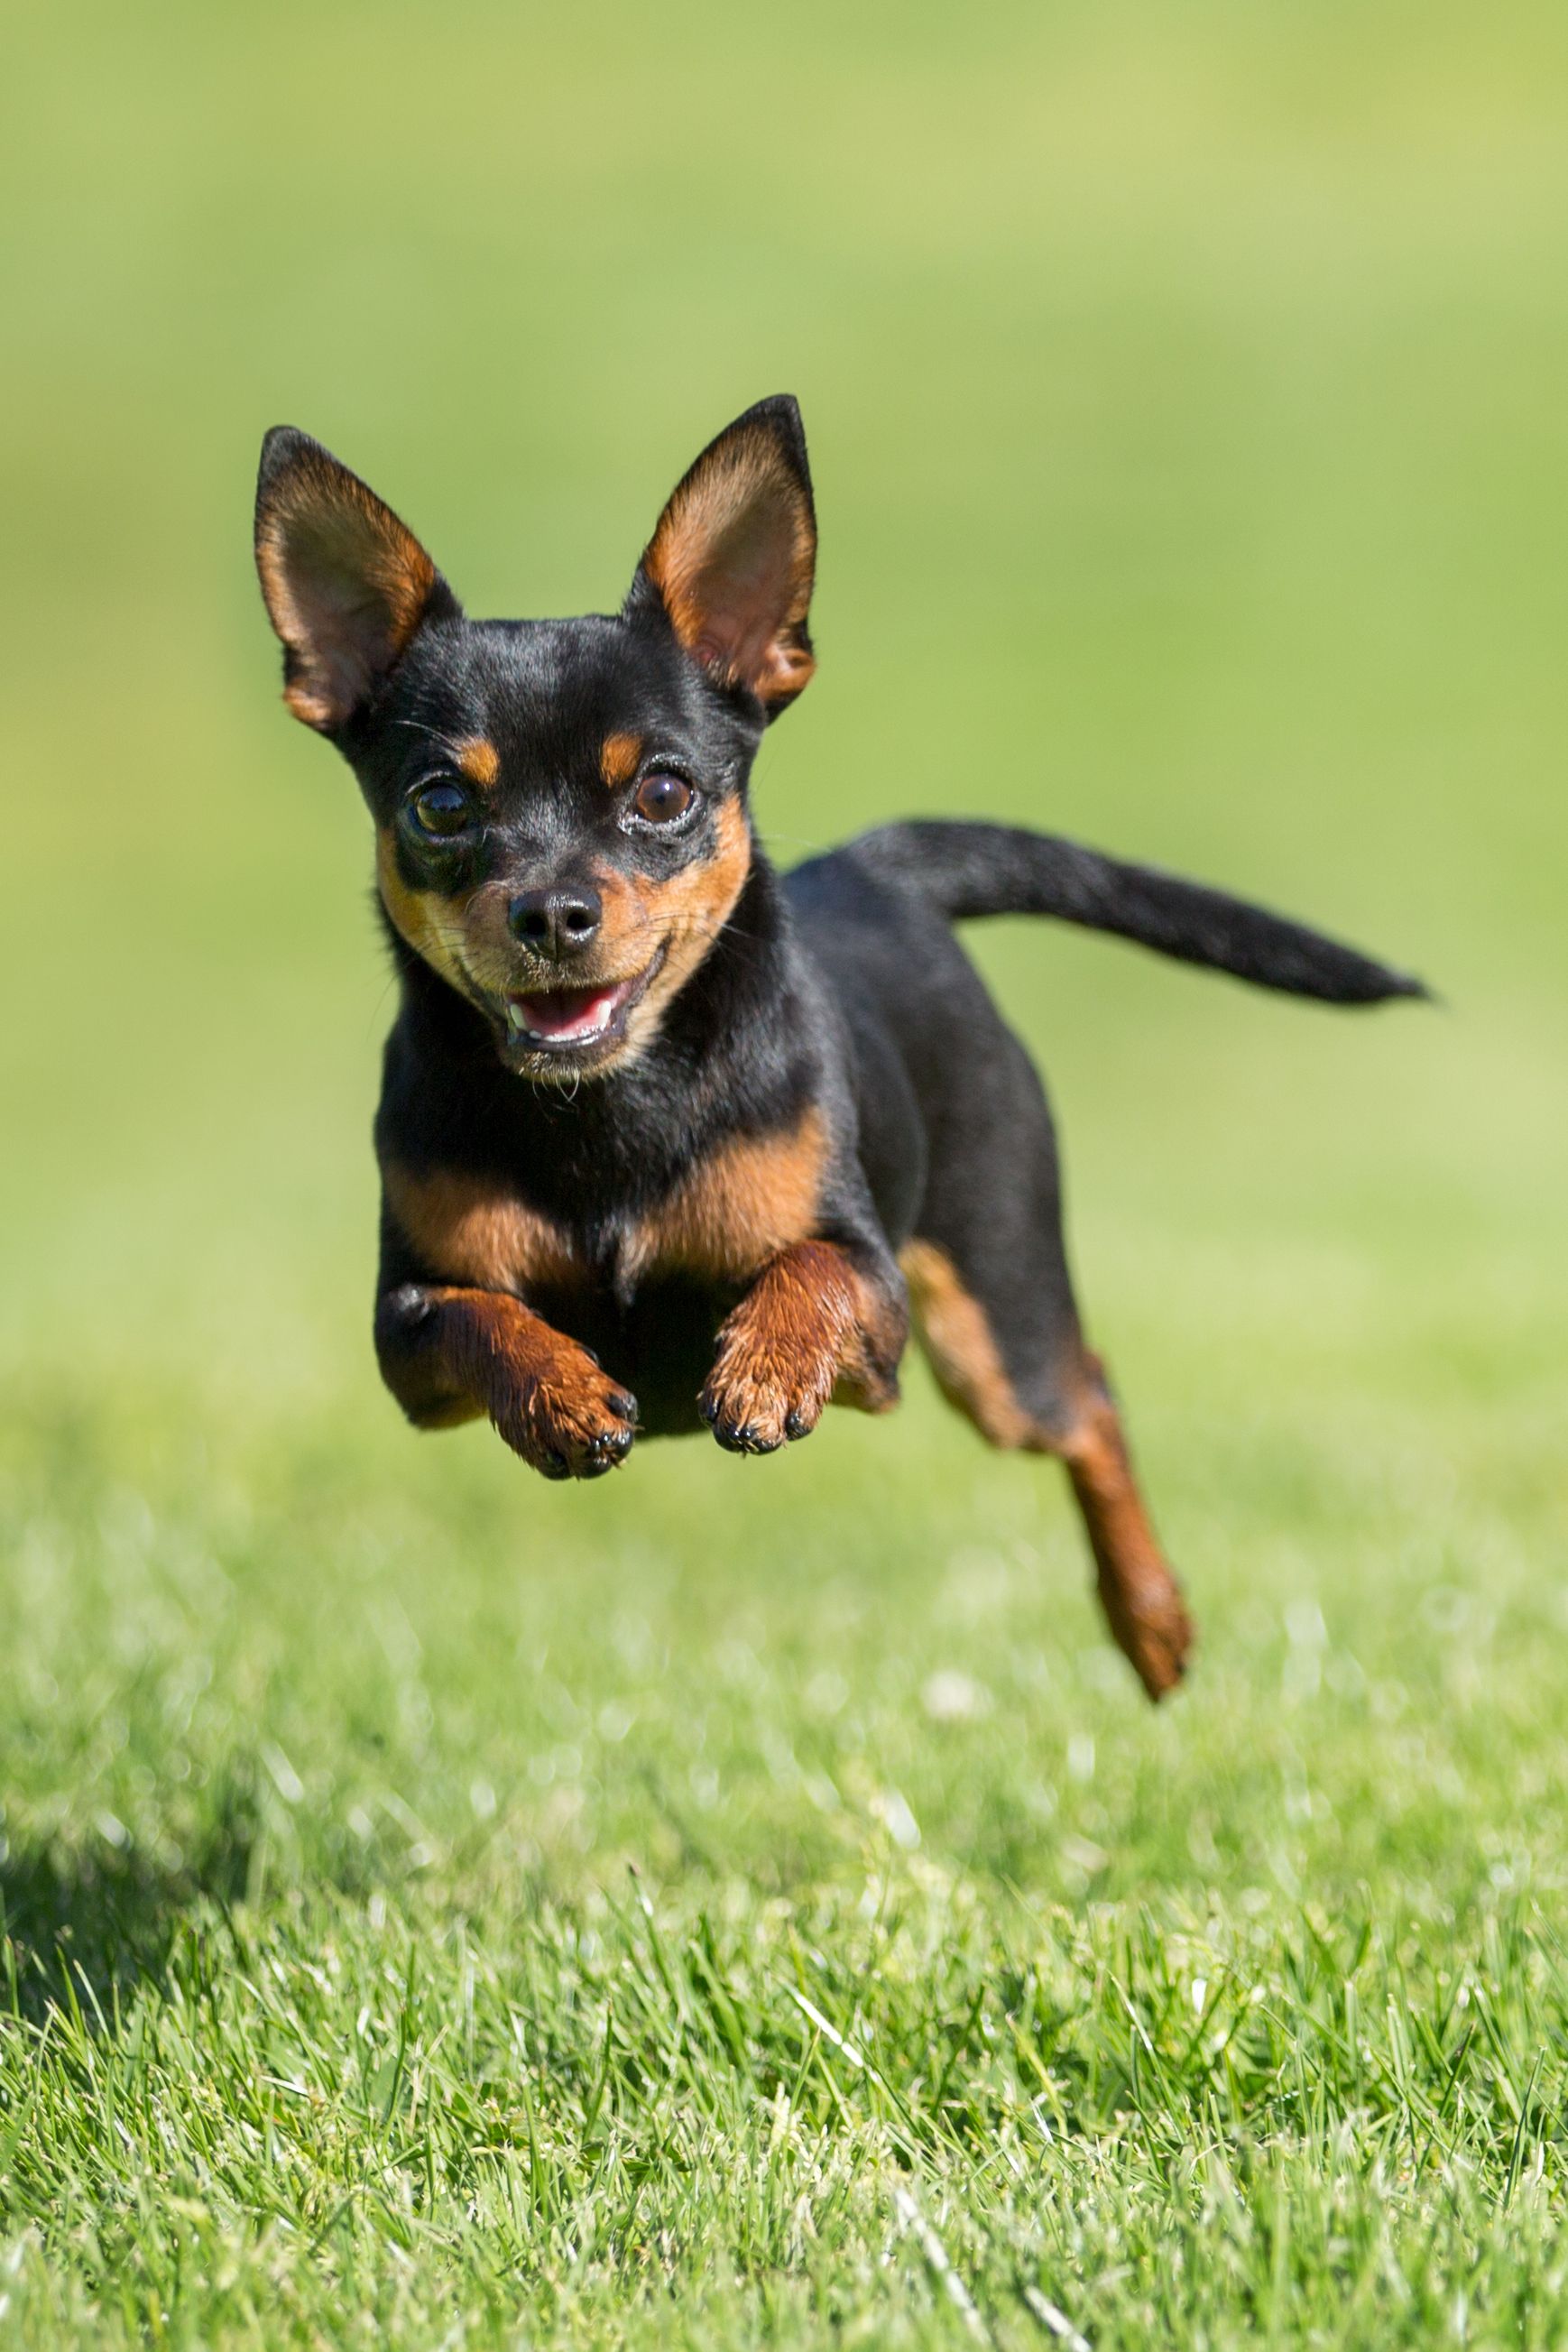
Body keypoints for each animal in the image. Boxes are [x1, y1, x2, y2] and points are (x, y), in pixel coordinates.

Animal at [254, 400, 1419, 1693]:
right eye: (441, 806)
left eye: (664, 794)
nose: (551, 913)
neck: (608, 1110)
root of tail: (877, 871)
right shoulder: (405, 1330)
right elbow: (480, 1315)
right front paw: (559, 1392)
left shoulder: (878, 1316)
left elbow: (809, 1268)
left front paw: (763, 1370)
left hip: (992, 1325)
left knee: (1086, 1398)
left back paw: (1151, 1620)